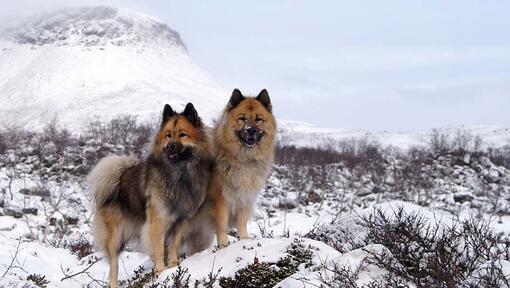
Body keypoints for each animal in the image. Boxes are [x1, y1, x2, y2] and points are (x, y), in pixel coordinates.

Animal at [89, 103, 213, 288]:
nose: (169, 147)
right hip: (115, 238)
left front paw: (174, 267)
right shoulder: (158, 221)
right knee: (113, 267)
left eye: (182, 134)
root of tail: (118, 178)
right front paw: (161, 271)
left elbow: (174, 246)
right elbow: (160, 248)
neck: (179, 174)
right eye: (168, 135)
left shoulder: (180, 221)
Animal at [183, 88, 276, 254]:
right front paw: (224, 245)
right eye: (242, 119)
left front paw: (244, 241)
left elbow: (242, 225)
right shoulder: (221, 200)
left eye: (258, 119)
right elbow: (222, 226)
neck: (243, 160)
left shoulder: (245, 199)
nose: (251, 130)